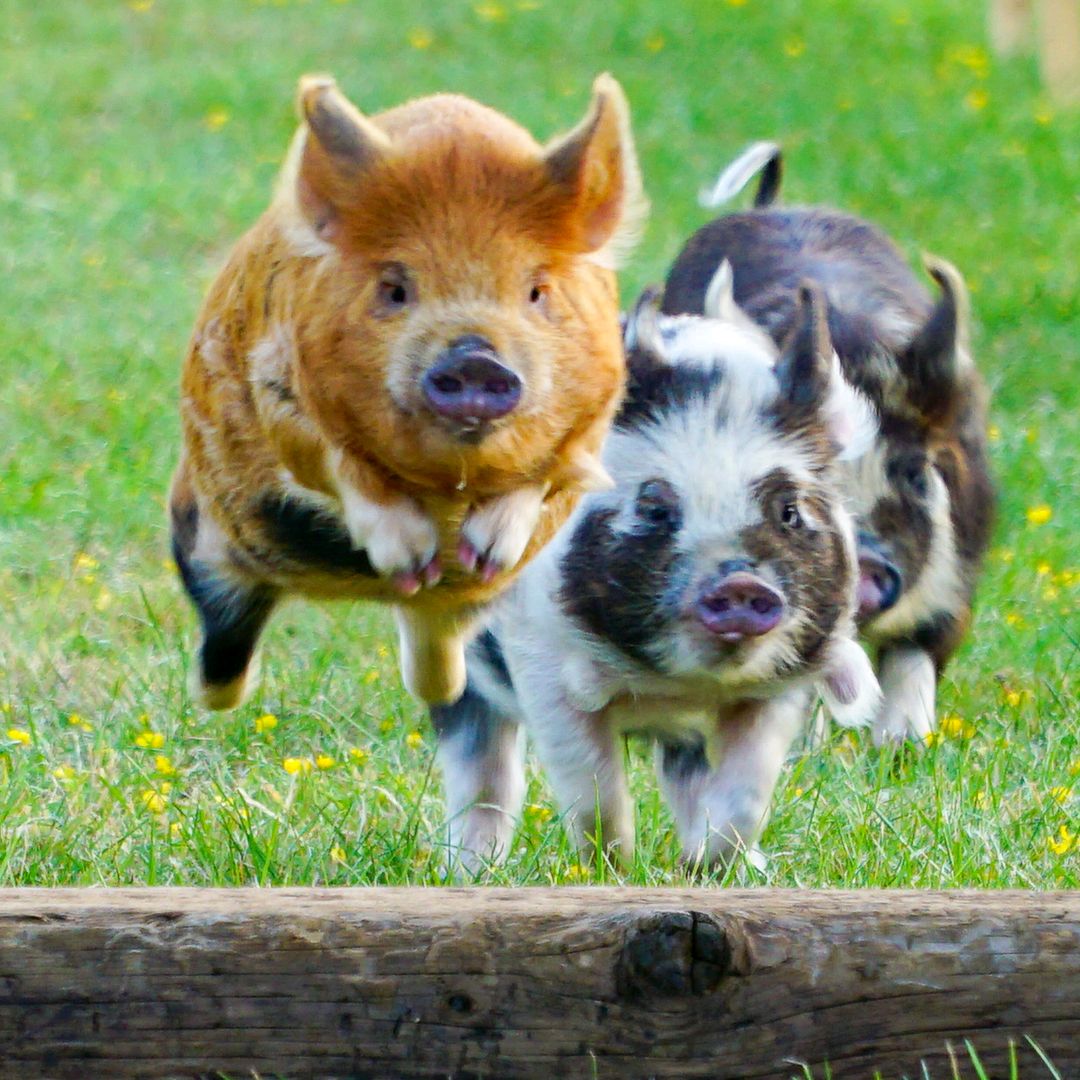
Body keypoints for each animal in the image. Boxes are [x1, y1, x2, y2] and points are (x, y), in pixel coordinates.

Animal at [169, 73, 645, 710]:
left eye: (537, 290)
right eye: (395, 289)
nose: (476, 356)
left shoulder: (594, 425)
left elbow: (545, 478)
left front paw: (485, 553)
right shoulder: (281, 399)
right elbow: (340, 466)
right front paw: (410, 556)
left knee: (435, 651)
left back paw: (440, 659)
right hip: (203, 527)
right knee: (223, 636)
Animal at [430, 268, 881, 872]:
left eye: (788, 510)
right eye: (655, 507)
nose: (741, 582)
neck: (676, 685)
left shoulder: (782, 685)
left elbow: (748, 789)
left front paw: (710, 866)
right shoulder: (540, 661)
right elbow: (591, 787)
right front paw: (613, 869)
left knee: (686, 767)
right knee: (481, 771)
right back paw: (470, 869)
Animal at [663, 143, 995, 744]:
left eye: (913, 471)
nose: (864, 562)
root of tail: (772, 204)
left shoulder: (956, 577)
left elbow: (918, 657)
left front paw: (903, 746)